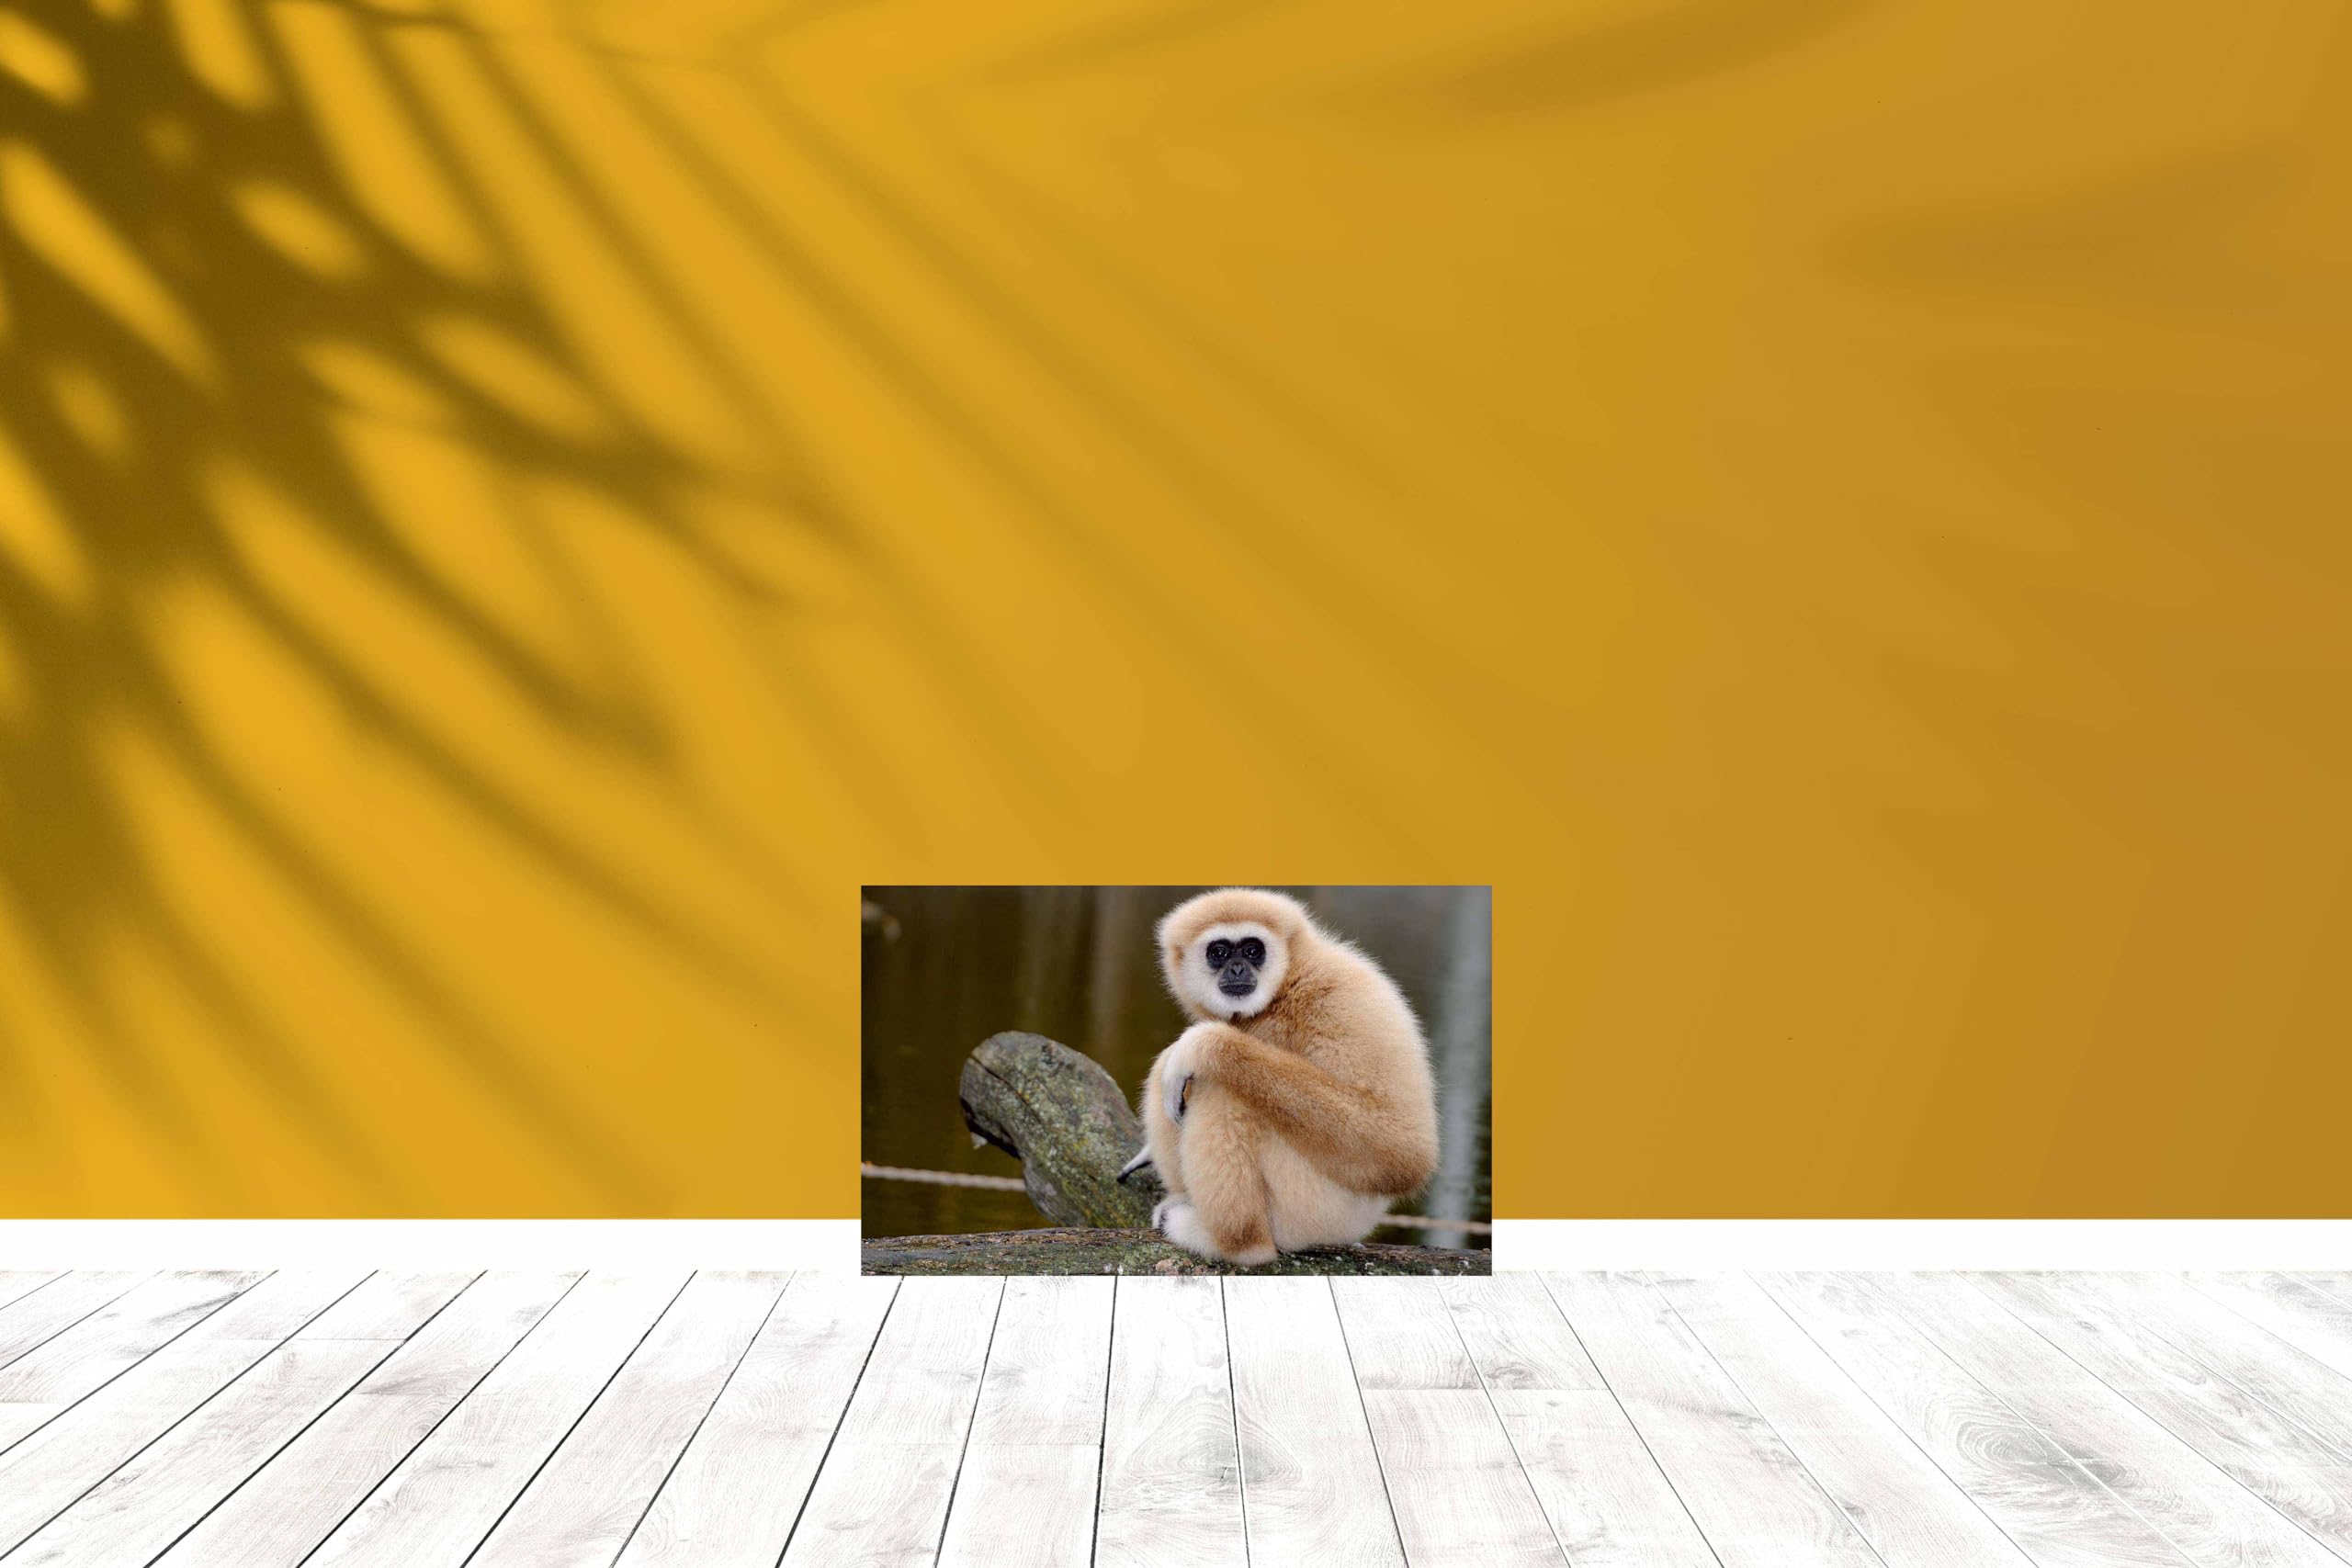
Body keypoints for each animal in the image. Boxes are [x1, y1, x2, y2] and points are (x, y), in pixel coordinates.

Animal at [1127, 889, 1438, 1265]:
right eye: (1219, 952)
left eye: (1252, 950)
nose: (1237, 967)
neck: (1285, 987)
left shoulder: (1342, 999)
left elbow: (1402, 1152)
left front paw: (1204, 1044)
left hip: (1313, 1209)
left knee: (1219, 1088)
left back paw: (1236, 1244)